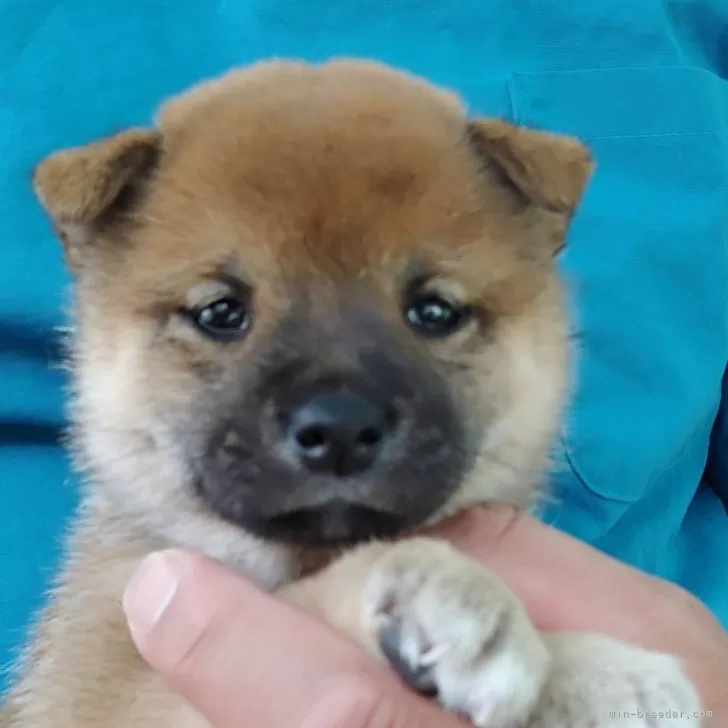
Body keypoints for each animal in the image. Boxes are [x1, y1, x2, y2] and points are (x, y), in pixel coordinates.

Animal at [0, 59, 704, 724]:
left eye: (434, 312)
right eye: (221, 312)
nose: (338, 429)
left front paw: (598, 670)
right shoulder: (114, 689)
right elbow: (313, 597)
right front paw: (454, 597)